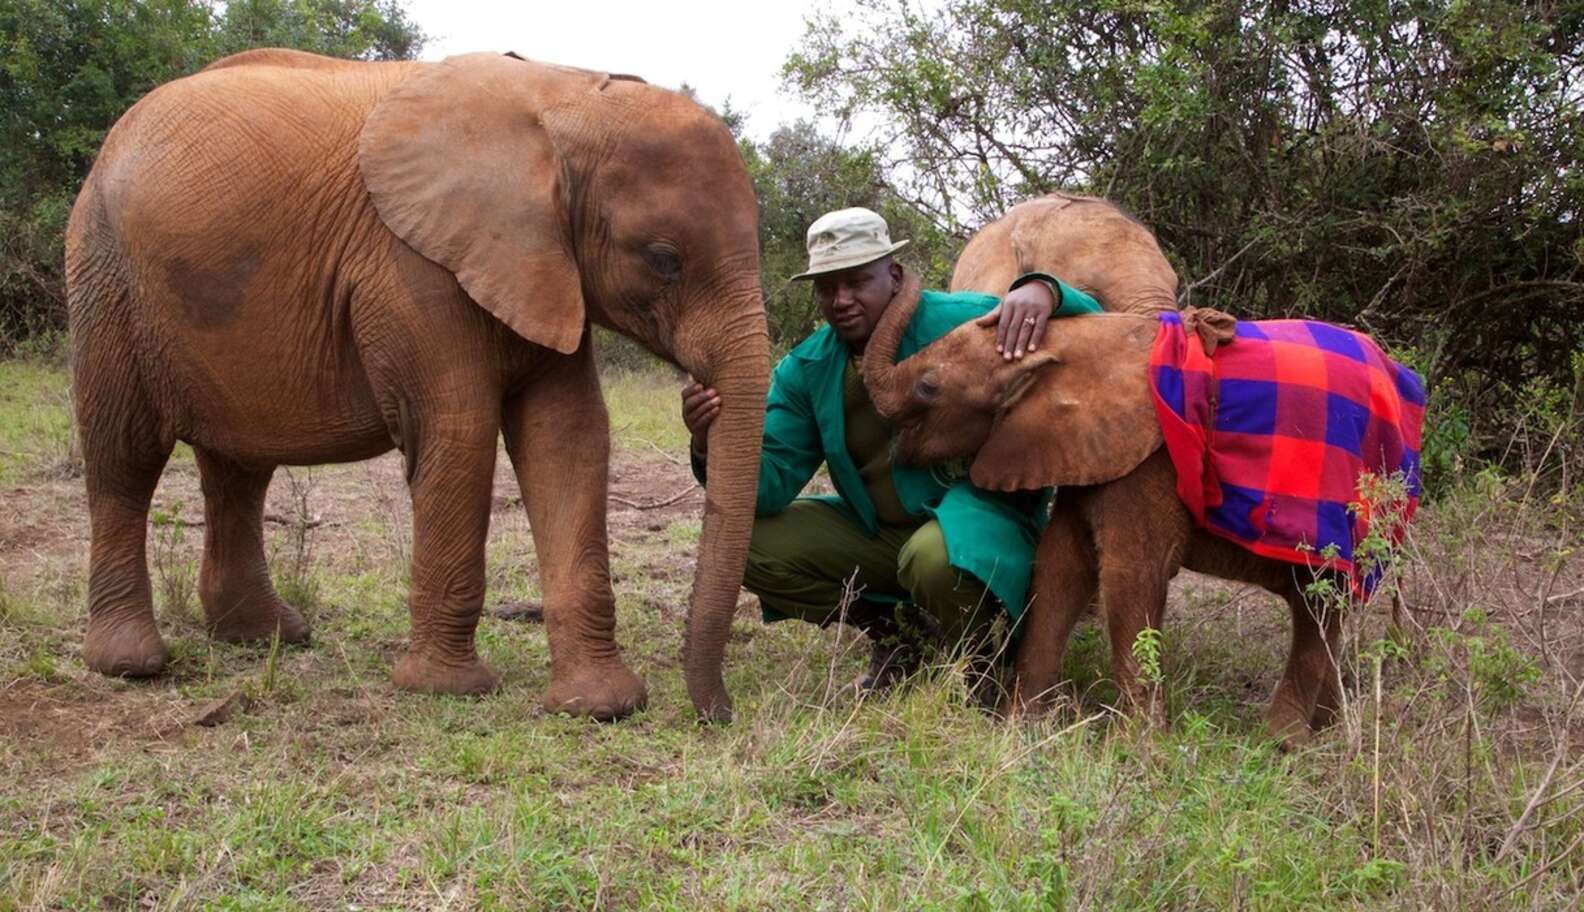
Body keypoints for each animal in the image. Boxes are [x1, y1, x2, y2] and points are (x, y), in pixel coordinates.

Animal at [64, 49, 769, 722]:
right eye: (663, 260)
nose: (718, 713)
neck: (565, 95)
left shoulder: (542, 266)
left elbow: (568, 435)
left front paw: (601, 707)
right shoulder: (414, 264)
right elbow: (458, 432)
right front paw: (446, 690)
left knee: (239, 469)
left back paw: (267, 636)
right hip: (106, 273)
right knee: (126, 456)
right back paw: (131, 663)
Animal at [861, 296, 1431, 744]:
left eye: (929, 388)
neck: (1063, 342)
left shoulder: (1148, 460)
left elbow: (1129, 577)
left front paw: (1134, 750)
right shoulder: (1086, 449)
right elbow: (1060, 570)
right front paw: (1021, 727)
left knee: (1318, 605)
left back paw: (1281, 743)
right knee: (1324, 605)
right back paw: (1330, 729)